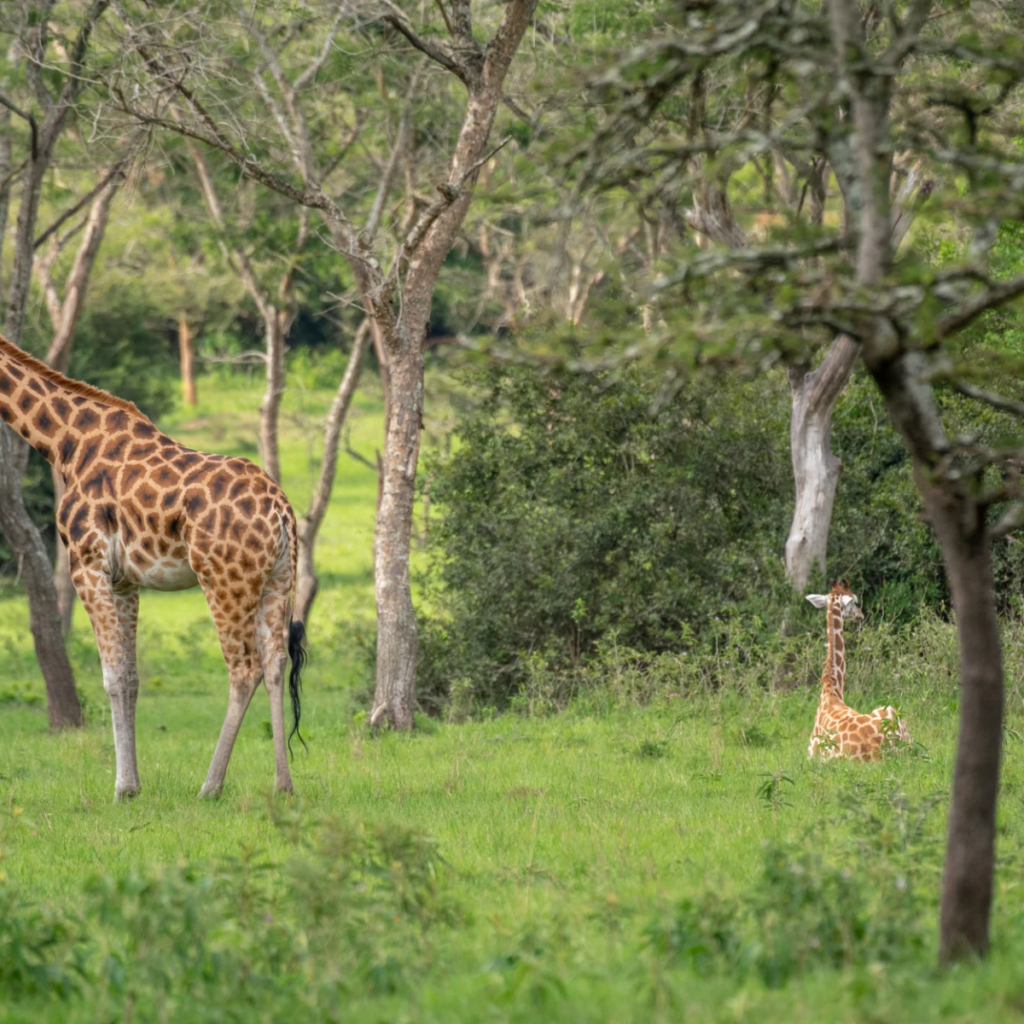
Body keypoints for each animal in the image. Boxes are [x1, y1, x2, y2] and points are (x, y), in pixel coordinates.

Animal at [0, 333, 307, 799]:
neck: (65, 444)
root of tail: (282, 512)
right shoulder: (125, 580)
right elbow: (130, 678)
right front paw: (134, 785)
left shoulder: (86, 564)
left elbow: (110, 677)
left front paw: (122, 788)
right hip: (277, 580)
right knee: (275, 664)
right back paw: (283, 785)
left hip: (224, 581)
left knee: (244, 670)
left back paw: (210, 786)